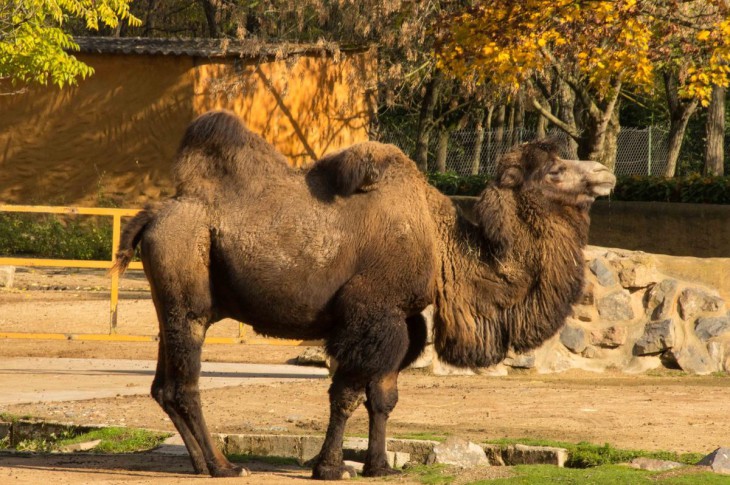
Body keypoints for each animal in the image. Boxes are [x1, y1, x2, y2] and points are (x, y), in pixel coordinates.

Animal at [112, 109, 616, 476]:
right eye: (555, 170)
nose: (604, 172)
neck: (440, 247)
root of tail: (152, 217)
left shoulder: (402, 318)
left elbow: (384, 396)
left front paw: (378, 466)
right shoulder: (371, 314)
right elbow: (348, 393)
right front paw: (329, 467)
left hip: (171, 302)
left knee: (163, 385)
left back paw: (201, 463)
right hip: (188, 290)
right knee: (185, 383)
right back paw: (223, 466)